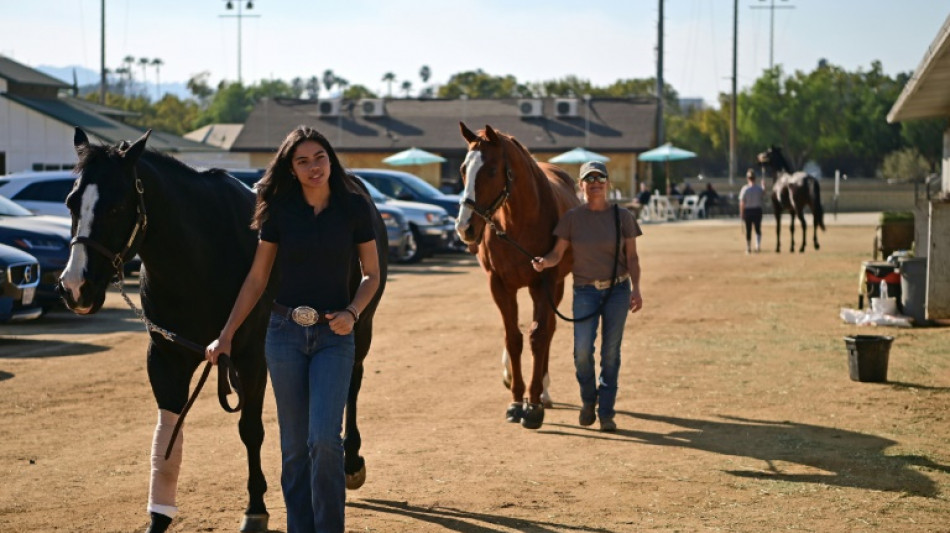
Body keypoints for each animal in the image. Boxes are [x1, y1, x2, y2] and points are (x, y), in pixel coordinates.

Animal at [59, 129, 388, 532]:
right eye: (71, 202)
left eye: (117, 207)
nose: (76, 287)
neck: (199, 258)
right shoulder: (166, 358)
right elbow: (167, 435)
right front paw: (159, 516)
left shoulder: (251, 357)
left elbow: (251, 429)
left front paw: (255, 508)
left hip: (359, 326)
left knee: (351, 383)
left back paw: (351, 462)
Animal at [456, 123, 580, 428]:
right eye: (463, 168)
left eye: (491, 170)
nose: (464, 227)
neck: (518, 223)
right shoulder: (499, 285)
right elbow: (512, 337)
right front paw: (515, 400)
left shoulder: (545, 282)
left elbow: (538, 336)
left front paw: (533, 404)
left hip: (555, 287)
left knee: (549, 331)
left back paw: (544, 391)